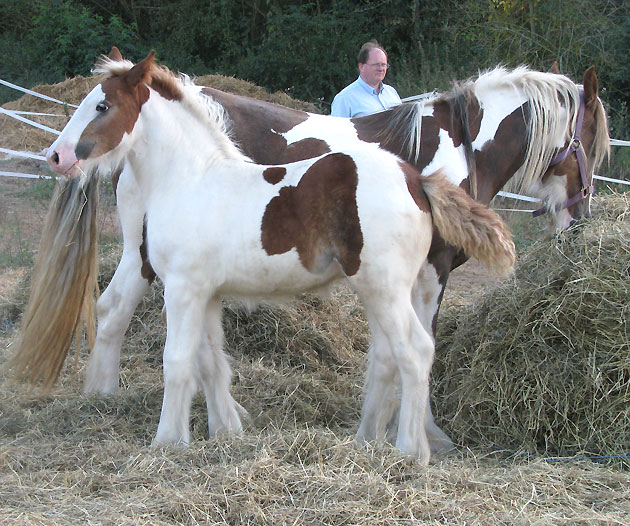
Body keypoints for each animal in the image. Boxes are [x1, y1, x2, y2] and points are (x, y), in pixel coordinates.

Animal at [11, 50, 612, 458]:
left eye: (102, 104)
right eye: (588, 136)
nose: (57, 155)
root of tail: (416, 180)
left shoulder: (186, 289)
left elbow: (181, 361)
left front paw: (170, 443)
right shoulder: (200, 291)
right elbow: (208, 360)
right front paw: (216, 433)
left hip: (380, 285)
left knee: (414, 351)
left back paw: (407, 451)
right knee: (111, 311)